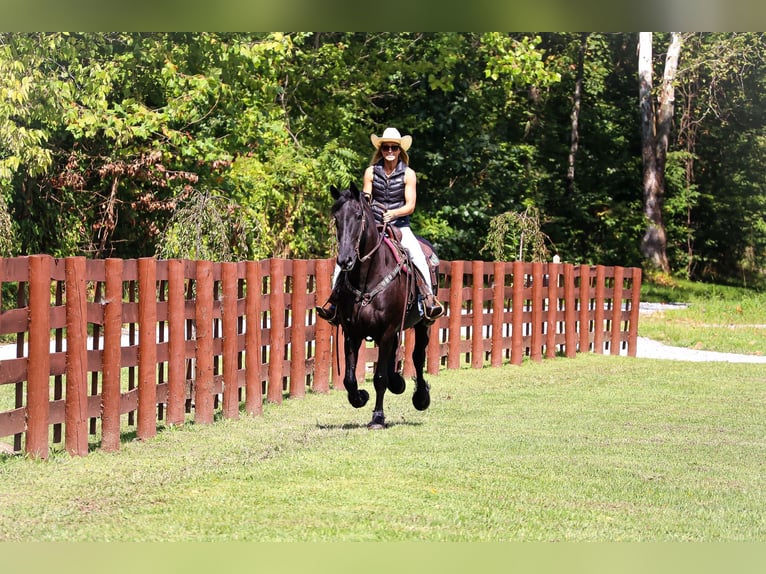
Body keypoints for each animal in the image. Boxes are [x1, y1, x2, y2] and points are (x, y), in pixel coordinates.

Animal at [328, 182, 435, 429]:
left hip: (422, 324)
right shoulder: (352, 332)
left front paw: (377, 417)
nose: (345, 260)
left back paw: (421, 397)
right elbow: (349, 378)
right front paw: (360, 397)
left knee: (417, 357)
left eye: (358, 216)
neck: (367, 278)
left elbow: (379, 378)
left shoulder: (386, 331)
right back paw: (398, 382)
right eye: (336, 218)